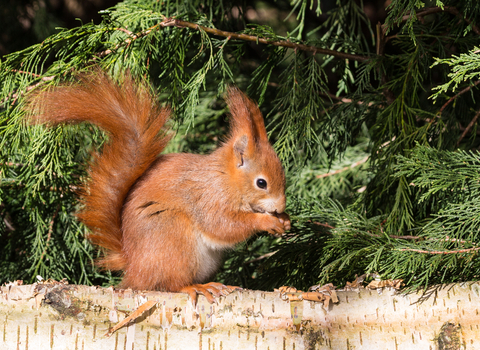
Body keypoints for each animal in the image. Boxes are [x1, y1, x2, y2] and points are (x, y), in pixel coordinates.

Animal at [28, 69, 290, 304]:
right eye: (261, 183)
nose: (281, 206)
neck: (225, 178)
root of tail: (134, 265)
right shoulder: (208, 197)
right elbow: (222, 225)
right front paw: (265, 221)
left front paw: (285, 220)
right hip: (172, 235)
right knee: (170, 284)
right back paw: (196, 287)